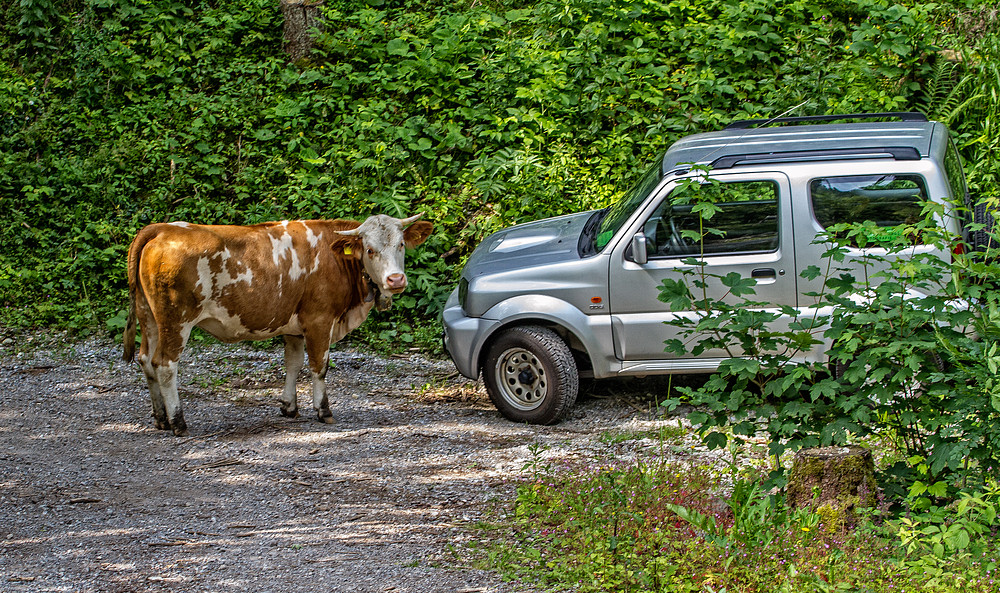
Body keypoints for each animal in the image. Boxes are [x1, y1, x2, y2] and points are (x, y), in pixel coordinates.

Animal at [123, 213, 432, 434]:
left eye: (401, 245)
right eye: (369, 250)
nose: (395, 279)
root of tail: (163, 229)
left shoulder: (294, 326)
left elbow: (293, 364)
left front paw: (289, 406)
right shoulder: (319, 319)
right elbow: (319, 367)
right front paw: (323, 410)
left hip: (149, 316)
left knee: (146, 360)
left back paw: (161, 418)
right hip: (176, 321)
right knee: (165, 365)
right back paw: (177, 422)